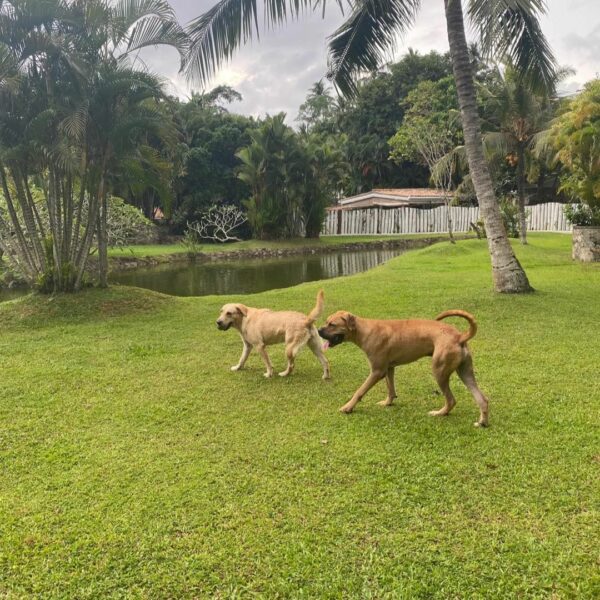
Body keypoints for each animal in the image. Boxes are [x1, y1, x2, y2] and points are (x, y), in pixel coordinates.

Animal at [316, 310, 490, 426]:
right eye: (326, 322)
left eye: (332, 324)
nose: (318, 330)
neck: (364, 330)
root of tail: (459, 336)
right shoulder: (388, 368)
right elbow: (390, 388)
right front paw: (388, 402)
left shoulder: (376, 371)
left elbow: (359, 391)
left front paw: (348, 407)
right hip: (465, 371)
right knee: (482, 399)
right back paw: (482, 422)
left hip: (439, 371)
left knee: (451, 400)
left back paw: (439, 413)